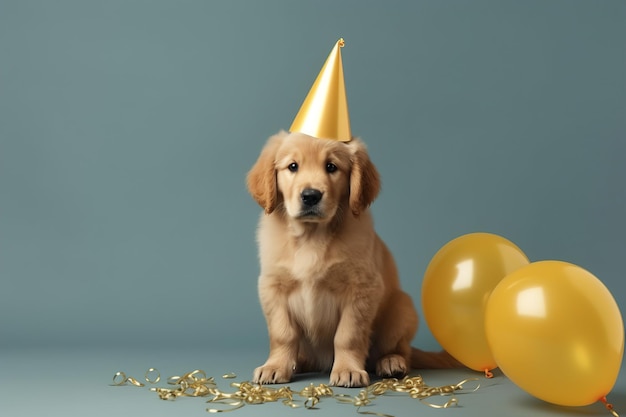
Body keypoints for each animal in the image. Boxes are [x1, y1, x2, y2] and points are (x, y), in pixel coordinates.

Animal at [246, 131, 456, 386]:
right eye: (292, 166)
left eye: (331, 167)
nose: (311, 196)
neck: (311, 236)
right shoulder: (272, 286)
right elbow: (283, 333)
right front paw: (275, 366)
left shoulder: (362, 288)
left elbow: (348, 335)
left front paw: (348, 369)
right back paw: (300, 362)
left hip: (402, 308)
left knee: (400, 350)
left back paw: (391, 362)